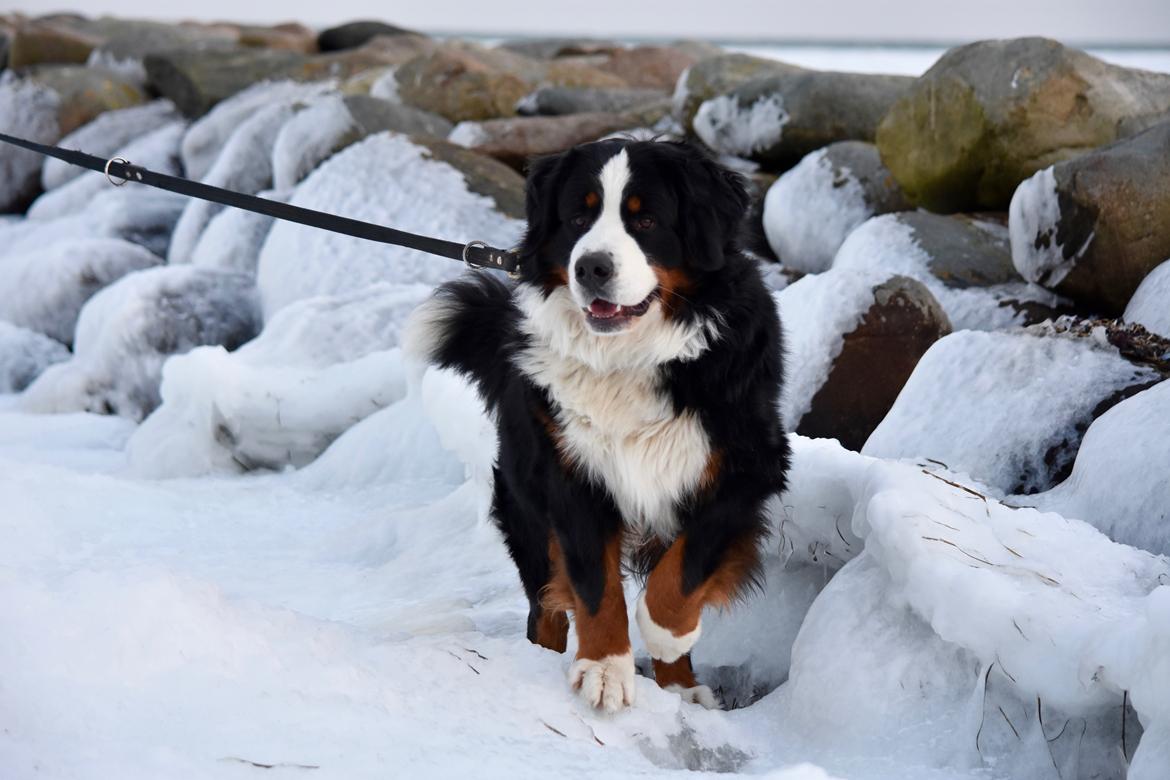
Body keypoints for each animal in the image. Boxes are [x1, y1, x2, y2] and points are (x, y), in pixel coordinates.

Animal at [407, 138, 790, 715]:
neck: (625, 359)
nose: (591, 267)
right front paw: (605, 668)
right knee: (544, 605)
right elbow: (594, 584)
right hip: (525, 504)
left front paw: (667, 638)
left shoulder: (748, 465)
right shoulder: (571, 474)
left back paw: (681, 687)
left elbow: (685, 568)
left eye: (646, 220)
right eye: (577, 218)